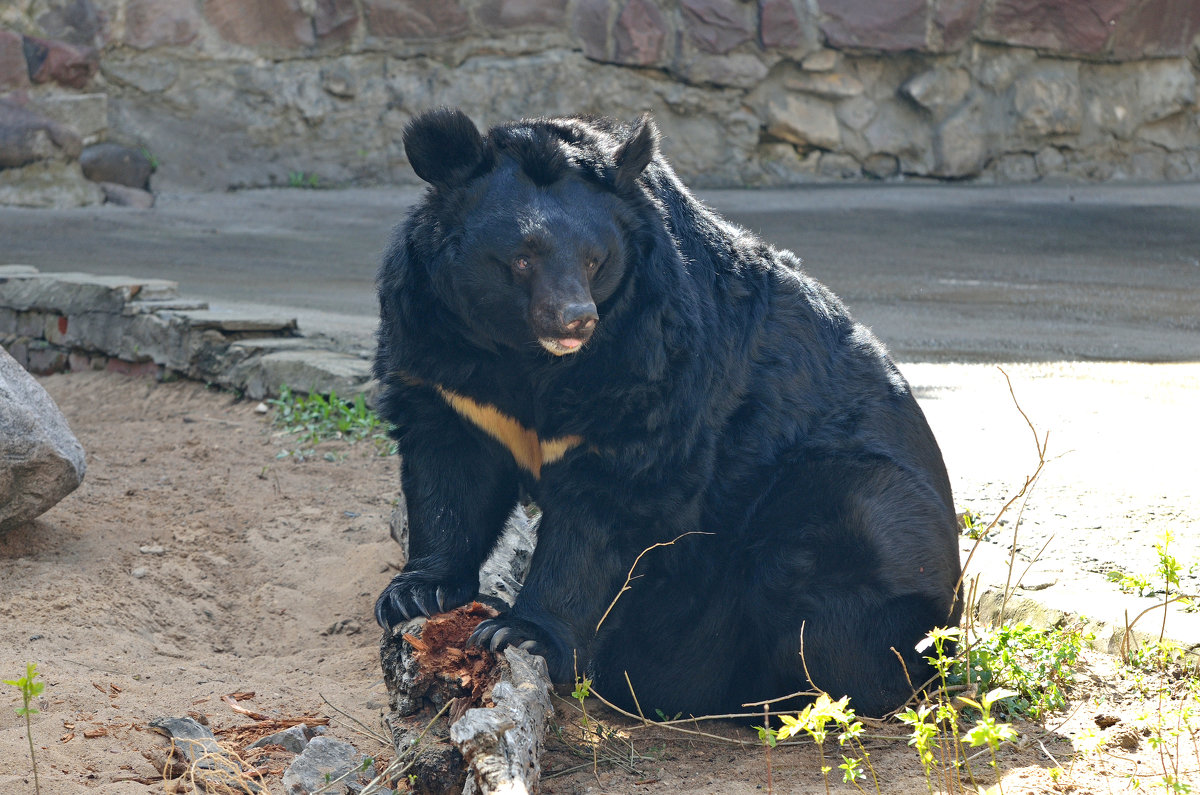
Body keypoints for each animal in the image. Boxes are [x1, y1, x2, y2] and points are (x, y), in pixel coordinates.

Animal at [369, 107, 960, 720]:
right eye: (521, 258)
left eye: (594, 260)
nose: (577, 319)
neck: (524, 355)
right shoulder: (443, 359)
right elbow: (449, 472)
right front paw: (414, 594)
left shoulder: (649, 360)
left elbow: (607, 504)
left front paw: (519, 633)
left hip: (858, 508)